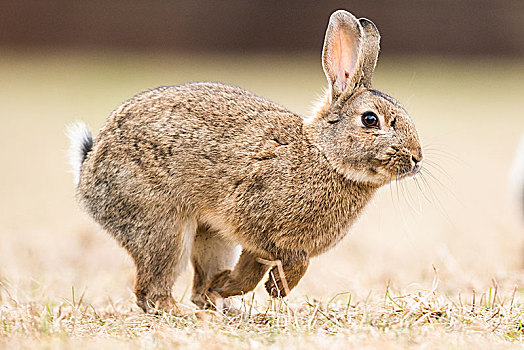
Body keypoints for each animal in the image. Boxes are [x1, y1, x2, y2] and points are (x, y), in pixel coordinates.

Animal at [67, 9, 424, 314]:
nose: (416, 158)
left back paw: (221, 303)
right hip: (162, 226)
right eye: (370, 120)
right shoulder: (258, 222)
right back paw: (181, 313)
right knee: (151, 289)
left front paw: (229, 286)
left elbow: (251, 269)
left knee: (195, 286)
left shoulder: (253, 242)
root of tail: (89, 168)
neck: (324, 155)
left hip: (212, 238)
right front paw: (276, 290)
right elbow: (293, 263)